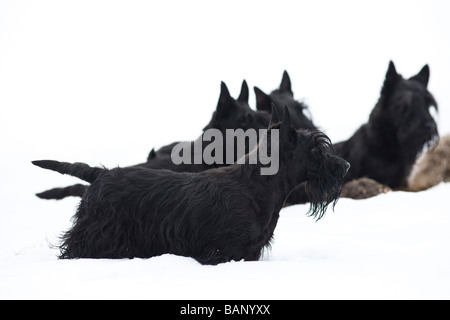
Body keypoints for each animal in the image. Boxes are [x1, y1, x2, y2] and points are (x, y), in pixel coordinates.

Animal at [32, 107, 348, 264]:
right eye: (316, 149)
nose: (345, 166)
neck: (258, 185)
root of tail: (100, 174)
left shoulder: (248, 252)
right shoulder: (222, 252)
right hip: (94, 237)